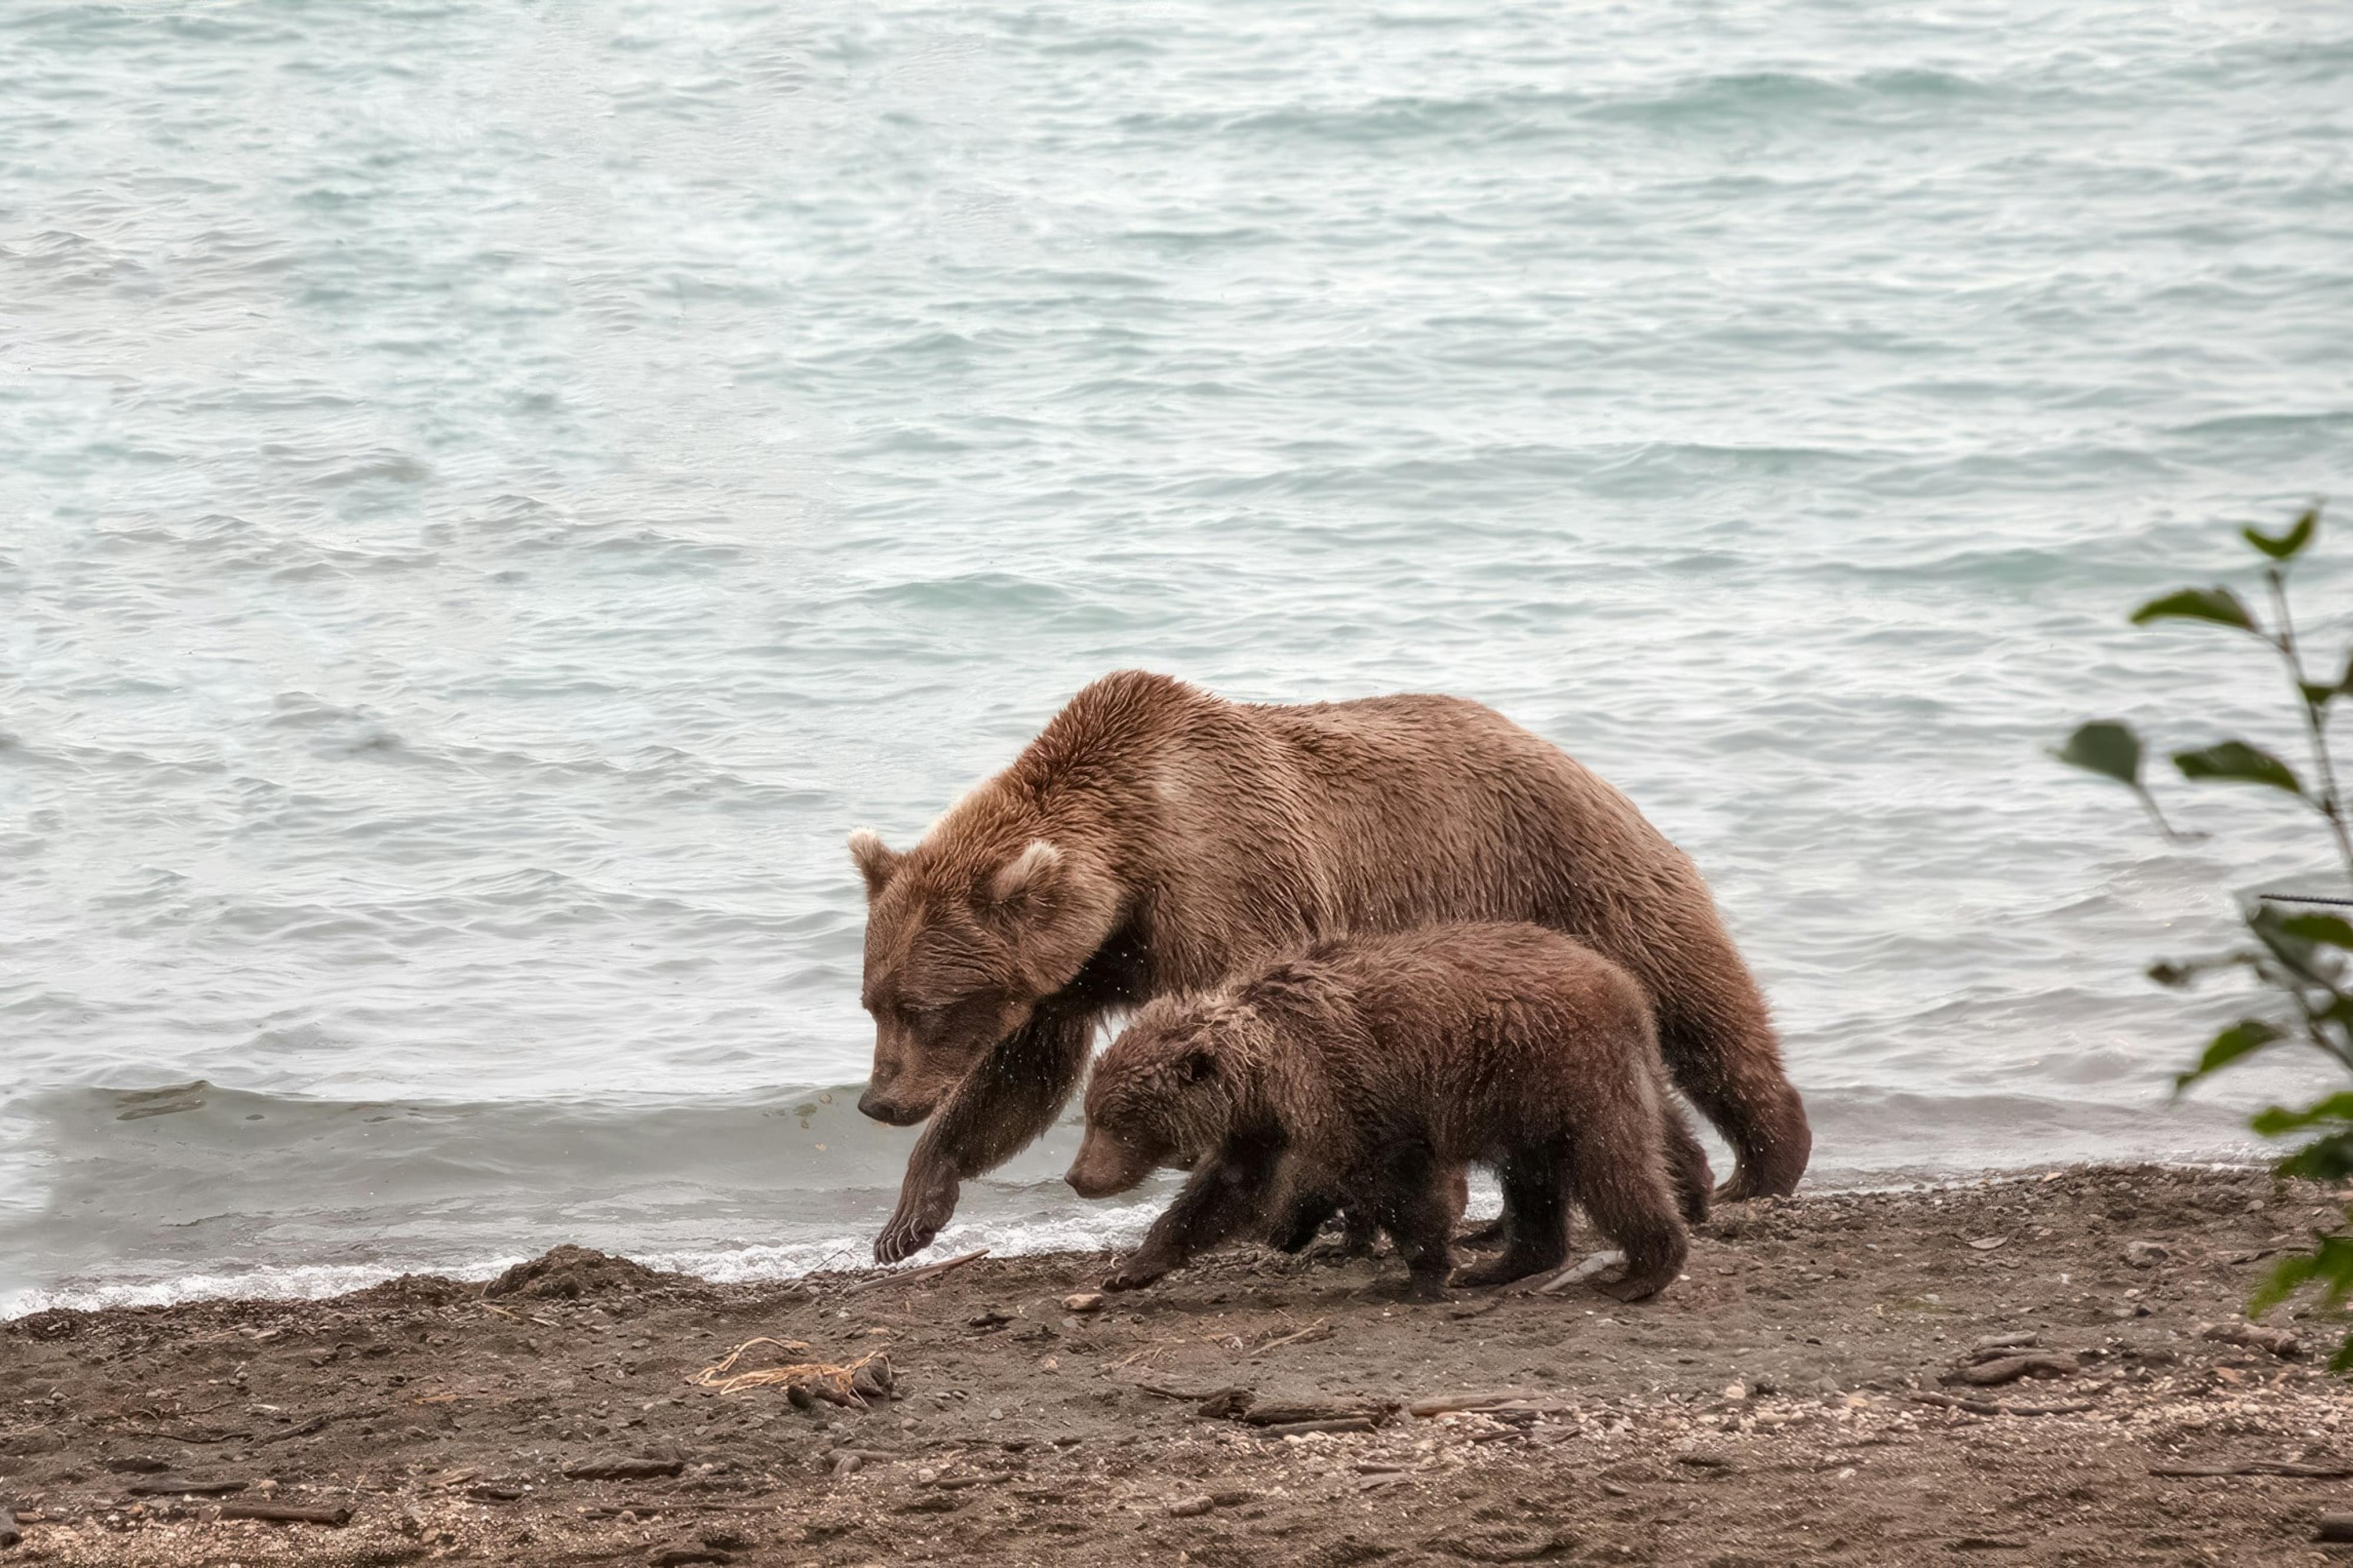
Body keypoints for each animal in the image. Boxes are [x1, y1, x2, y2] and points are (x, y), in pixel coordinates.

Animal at [856, 668, 1807, 1262]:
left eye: (923, 1005)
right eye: (877, 1001)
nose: (878, 1102)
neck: (1132, 861)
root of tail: (1567, 755)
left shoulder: (1232, 886)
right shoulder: (1079, 968)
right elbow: (1021, 1074)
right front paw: (910, 1214)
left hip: (1568, 872)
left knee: (1694, 997)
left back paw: (1764, 1160)